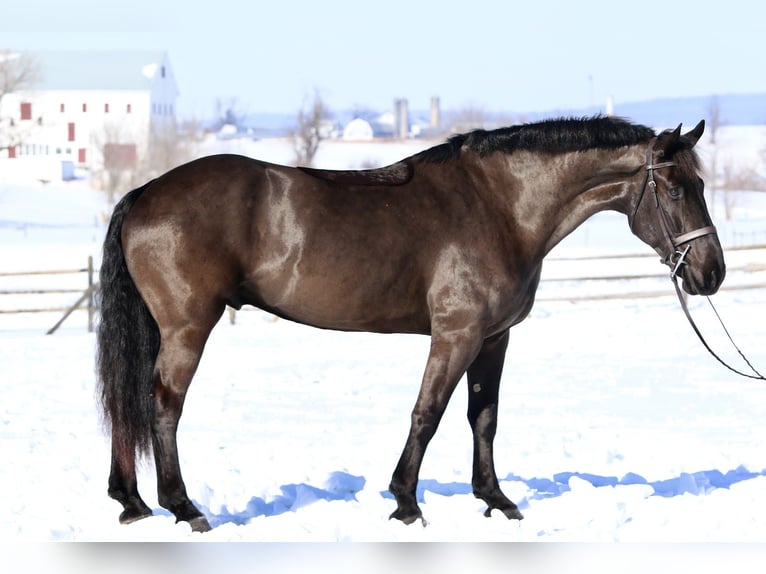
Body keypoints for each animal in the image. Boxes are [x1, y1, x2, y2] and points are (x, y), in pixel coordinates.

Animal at [96, 116, 725, 533]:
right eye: (675, 188)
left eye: (699, 184)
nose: (710, 271)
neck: (499, 206)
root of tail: (145, 192)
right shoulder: (456, 335)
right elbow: (428, 414)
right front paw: (405, 503)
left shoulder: (494, 338)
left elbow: (484, 417)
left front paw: (496, 500)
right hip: (187, 328)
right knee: (163, 406)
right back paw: (184, 508)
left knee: (131, 406)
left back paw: (131, 503)